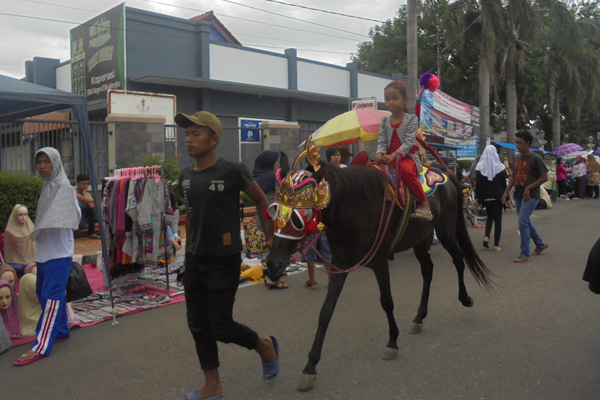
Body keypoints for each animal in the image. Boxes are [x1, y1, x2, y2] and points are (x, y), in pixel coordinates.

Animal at [264, 160, 490, 390]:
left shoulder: (380, 261)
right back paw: (419, 317)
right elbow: (326, 311)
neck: (352, 209)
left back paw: (465, 298)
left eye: (298, 218)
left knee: (458, 259)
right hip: (421, 238)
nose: (273, 263)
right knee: (428, 270)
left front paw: (392, 342)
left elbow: (387, 301)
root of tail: (445, 173)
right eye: (274, 211)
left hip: (444, 231)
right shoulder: (339, 264)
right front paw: (310, 366)